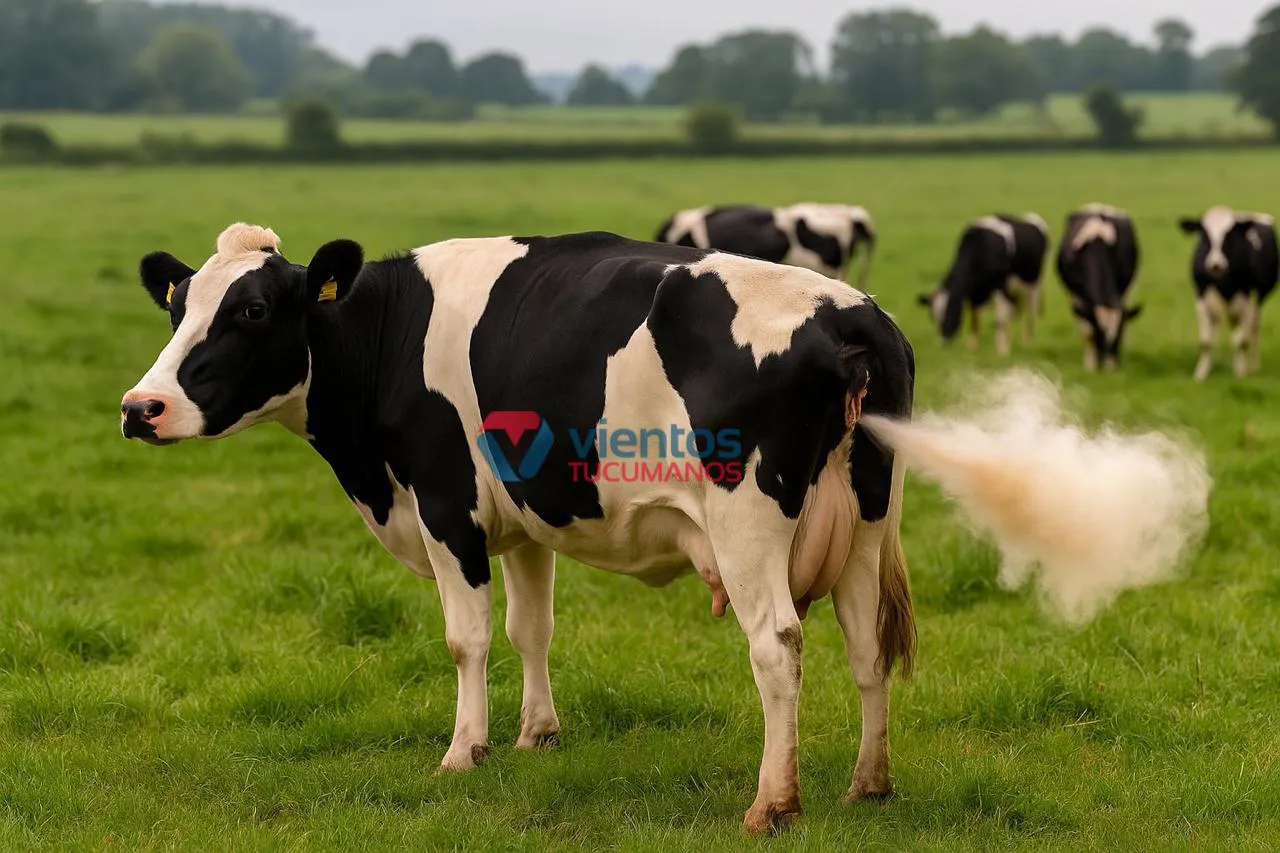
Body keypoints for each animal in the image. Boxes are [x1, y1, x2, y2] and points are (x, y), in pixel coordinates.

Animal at [121, 222, 918, 834]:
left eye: (253, 310)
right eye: (177, 309)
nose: (139, 407)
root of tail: (842, 310)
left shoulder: (446, 506)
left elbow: (465, 637)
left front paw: (464, 751)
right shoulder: (528, 520)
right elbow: (529, 629)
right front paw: (538, 734)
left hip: (746, 519)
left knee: (777, 646)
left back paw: (772, 803)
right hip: (867, 519)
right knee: (866, 643)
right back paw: (868, 784)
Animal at [916, 214, 1049, 354]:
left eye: (949, 312)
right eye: (933, 317)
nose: (943, 342)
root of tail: (1031, 217)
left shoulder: (1000, 287)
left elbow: (1000, 321)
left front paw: (1002, 350)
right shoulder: (975, 293)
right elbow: (974, 319)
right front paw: (973, 346)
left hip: (1033, 283)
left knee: (1030, 313)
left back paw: (1027, 342)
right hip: (1016, 289)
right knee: (1016, 309)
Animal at [1057, 204, 1142, 372]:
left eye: (1118, 337)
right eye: (1099, 335)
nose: (1110, 369)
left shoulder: (1122, 291)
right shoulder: (1077, 297)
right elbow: (1086, 330)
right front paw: (1091, 364)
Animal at [1178, 206, 1278, 381]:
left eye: (1230, 234)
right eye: (1204, 234)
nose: (1215, 264)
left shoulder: (1249, 300)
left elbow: (1241, 340)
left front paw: (1240, 372)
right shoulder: (1201, 299)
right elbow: (1205, 340)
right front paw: (1201, 373)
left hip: (1258, 299)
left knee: (1253, 328)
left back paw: (1254, 366)